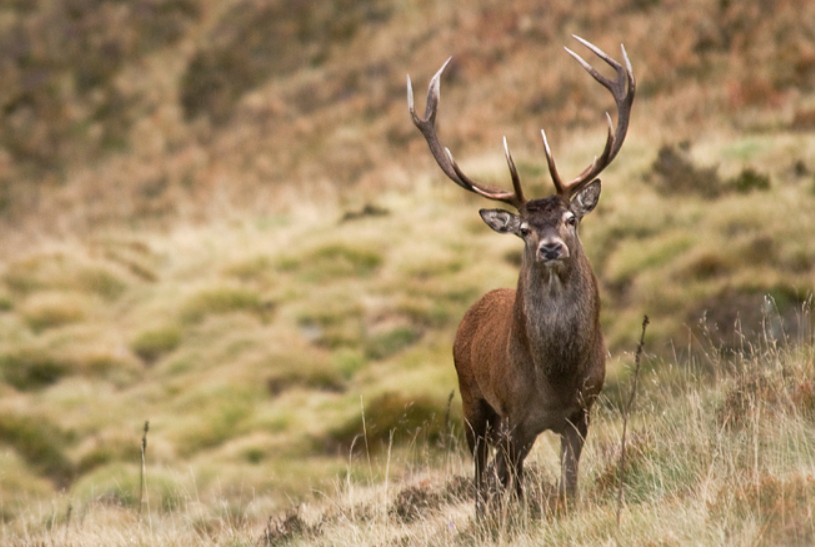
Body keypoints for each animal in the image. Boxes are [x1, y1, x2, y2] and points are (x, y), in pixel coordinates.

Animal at [408, 35, 636, 520]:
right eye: (525, 230)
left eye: (571, 218)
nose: (550, 247)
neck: (555, 377)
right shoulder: (515, 416)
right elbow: (511, 485)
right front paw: (517, 519)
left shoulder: (582, 410)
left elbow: (568, 481)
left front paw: (566, 510)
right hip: (473, 403)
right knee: (482, 472)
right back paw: (483, 517)